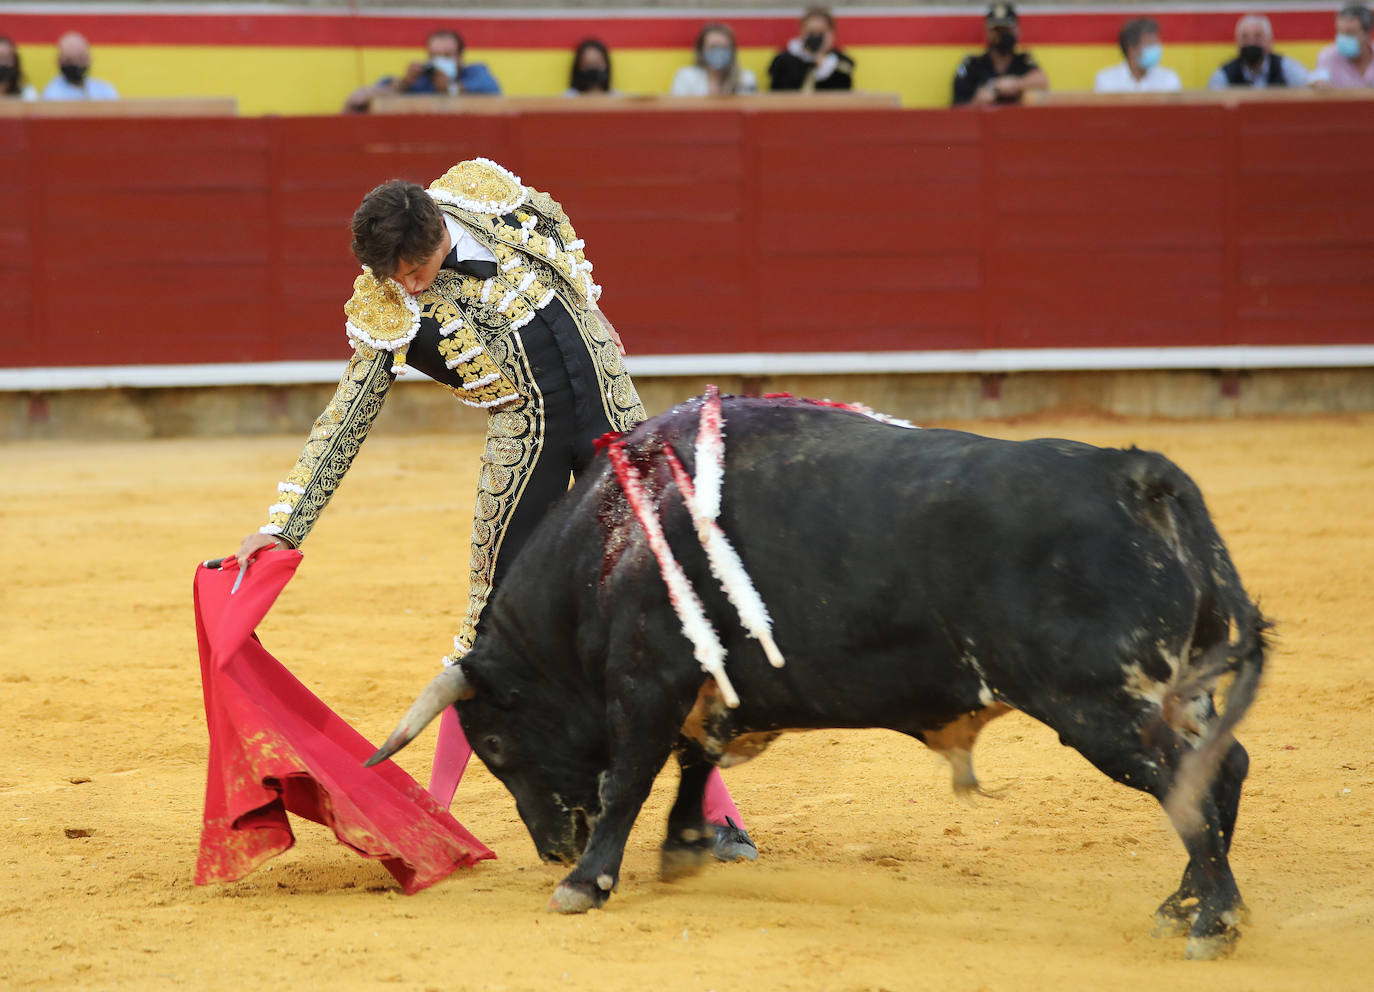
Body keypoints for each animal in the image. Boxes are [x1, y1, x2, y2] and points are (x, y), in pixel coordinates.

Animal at [365, 392, 1264, 956]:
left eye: (496, 746)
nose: (556, 848)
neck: (612, 544)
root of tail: (1134, 476)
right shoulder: (704, 688)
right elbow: (695, 762)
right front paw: (684, 848)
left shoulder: (648, 681)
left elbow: (630, 778)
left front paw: (587, 884)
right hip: (1167, 692)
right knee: (1218, 772)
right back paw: (1184, 904)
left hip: (1099, 704)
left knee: (1184, 782)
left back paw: (1210, 922)